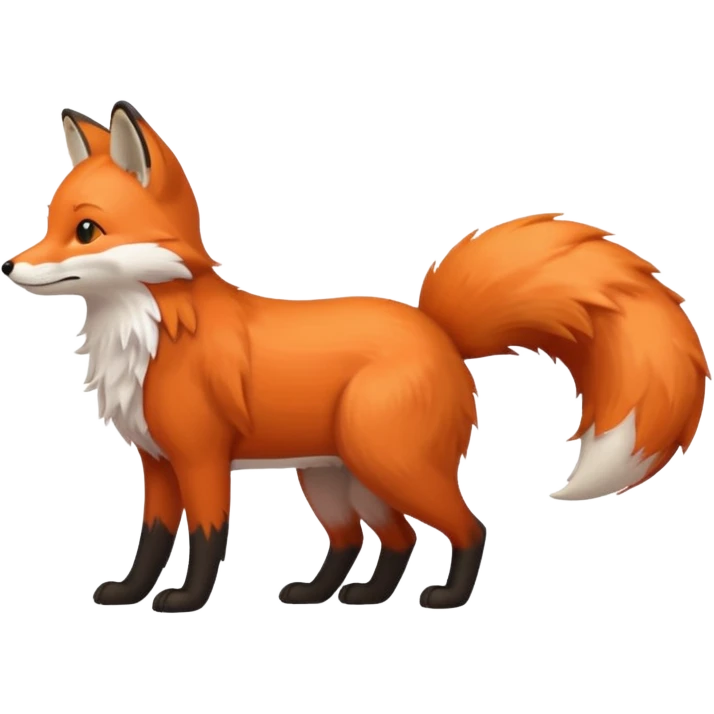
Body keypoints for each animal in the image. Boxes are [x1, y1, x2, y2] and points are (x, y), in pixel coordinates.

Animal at [2, 101, 710, 614]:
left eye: (86, 230)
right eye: (48, 222)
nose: (10, 266)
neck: (151, 332)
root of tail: (437, 329)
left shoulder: (201, 459)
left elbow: (204, 539)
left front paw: (184, 602)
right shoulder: (155, 462)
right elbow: (150, 540)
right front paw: (128, 594)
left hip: (387, 463)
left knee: (467, 527)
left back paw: (445, 598)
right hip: (334, 478)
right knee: (377, 541)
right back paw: (342, 595)